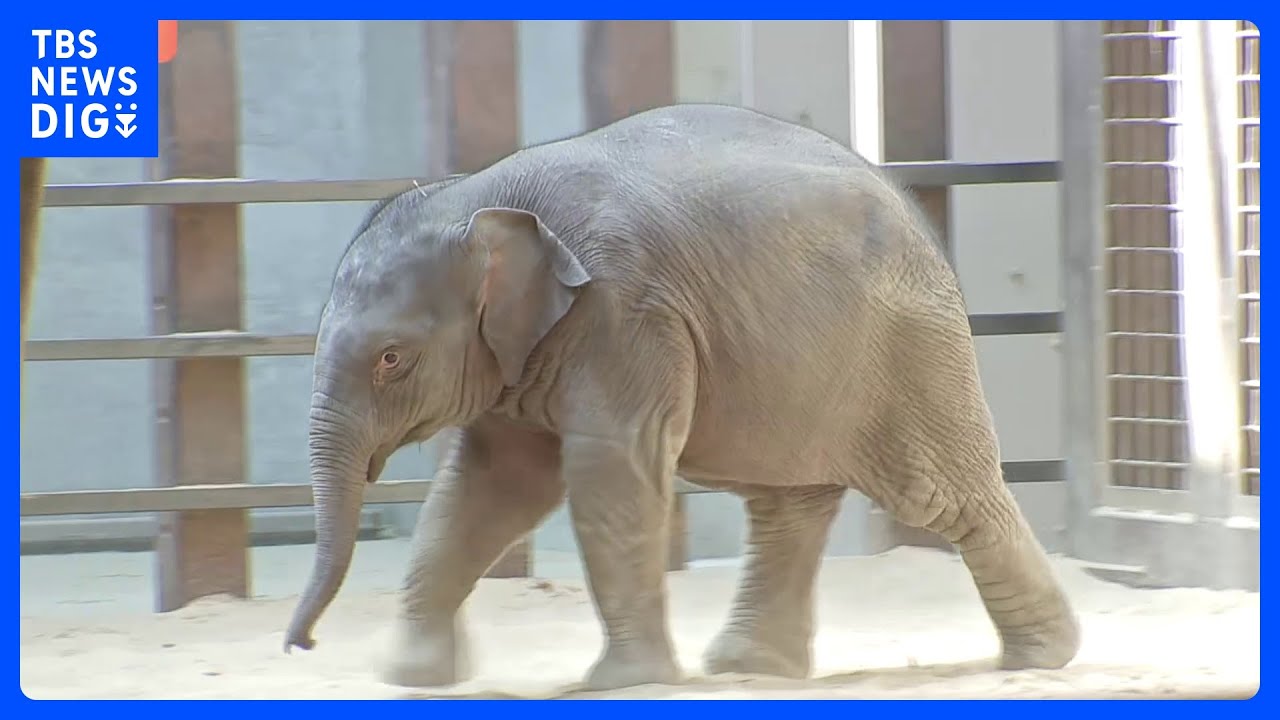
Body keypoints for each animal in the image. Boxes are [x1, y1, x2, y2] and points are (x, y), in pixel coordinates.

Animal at [283, 103, 1081, 691]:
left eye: (391, 359)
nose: (302, 648)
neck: (480, 196)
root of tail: (915, 209)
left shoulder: (624, 310)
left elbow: (606, 469)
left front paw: (623, 684)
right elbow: (494, 482)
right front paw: (408, 677)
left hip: (908, 346)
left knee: (942, 496)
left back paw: (1043, 658)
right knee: (787, 502)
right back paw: (750, 669)